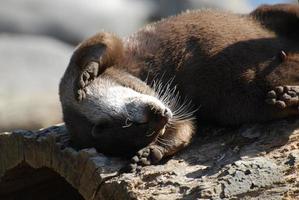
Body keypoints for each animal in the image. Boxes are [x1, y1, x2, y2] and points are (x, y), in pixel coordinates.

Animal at [58, 3, 299, 166]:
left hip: (269, 11)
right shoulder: (176, 107)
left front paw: (87, 73)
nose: (161, 115)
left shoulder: (115, 52)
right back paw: (286, 97)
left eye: (130, 121)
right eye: (145, 129)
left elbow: (101, 41)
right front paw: (151, 152)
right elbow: (185, 127)